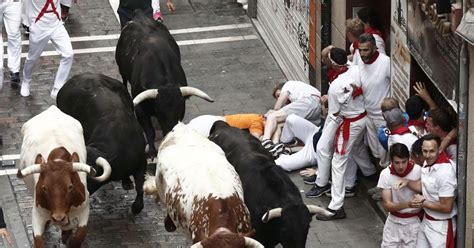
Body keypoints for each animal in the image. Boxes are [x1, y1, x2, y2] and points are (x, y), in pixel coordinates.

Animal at [16, 105, 111, 247]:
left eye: (70, 187)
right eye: (44, 188)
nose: (58, 218)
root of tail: (52, 108)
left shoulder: (84, 209)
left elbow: (80, 235)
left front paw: (70, 238)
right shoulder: (37, 213)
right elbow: (38, 240)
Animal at [115, 10, 212, 158]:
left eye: (180, 108)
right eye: (159, 110)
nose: (170, 130)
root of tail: (139, 16)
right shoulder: (141, 109)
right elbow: (150, 132)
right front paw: (152, 153)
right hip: (121, 70)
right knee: (124, 81)